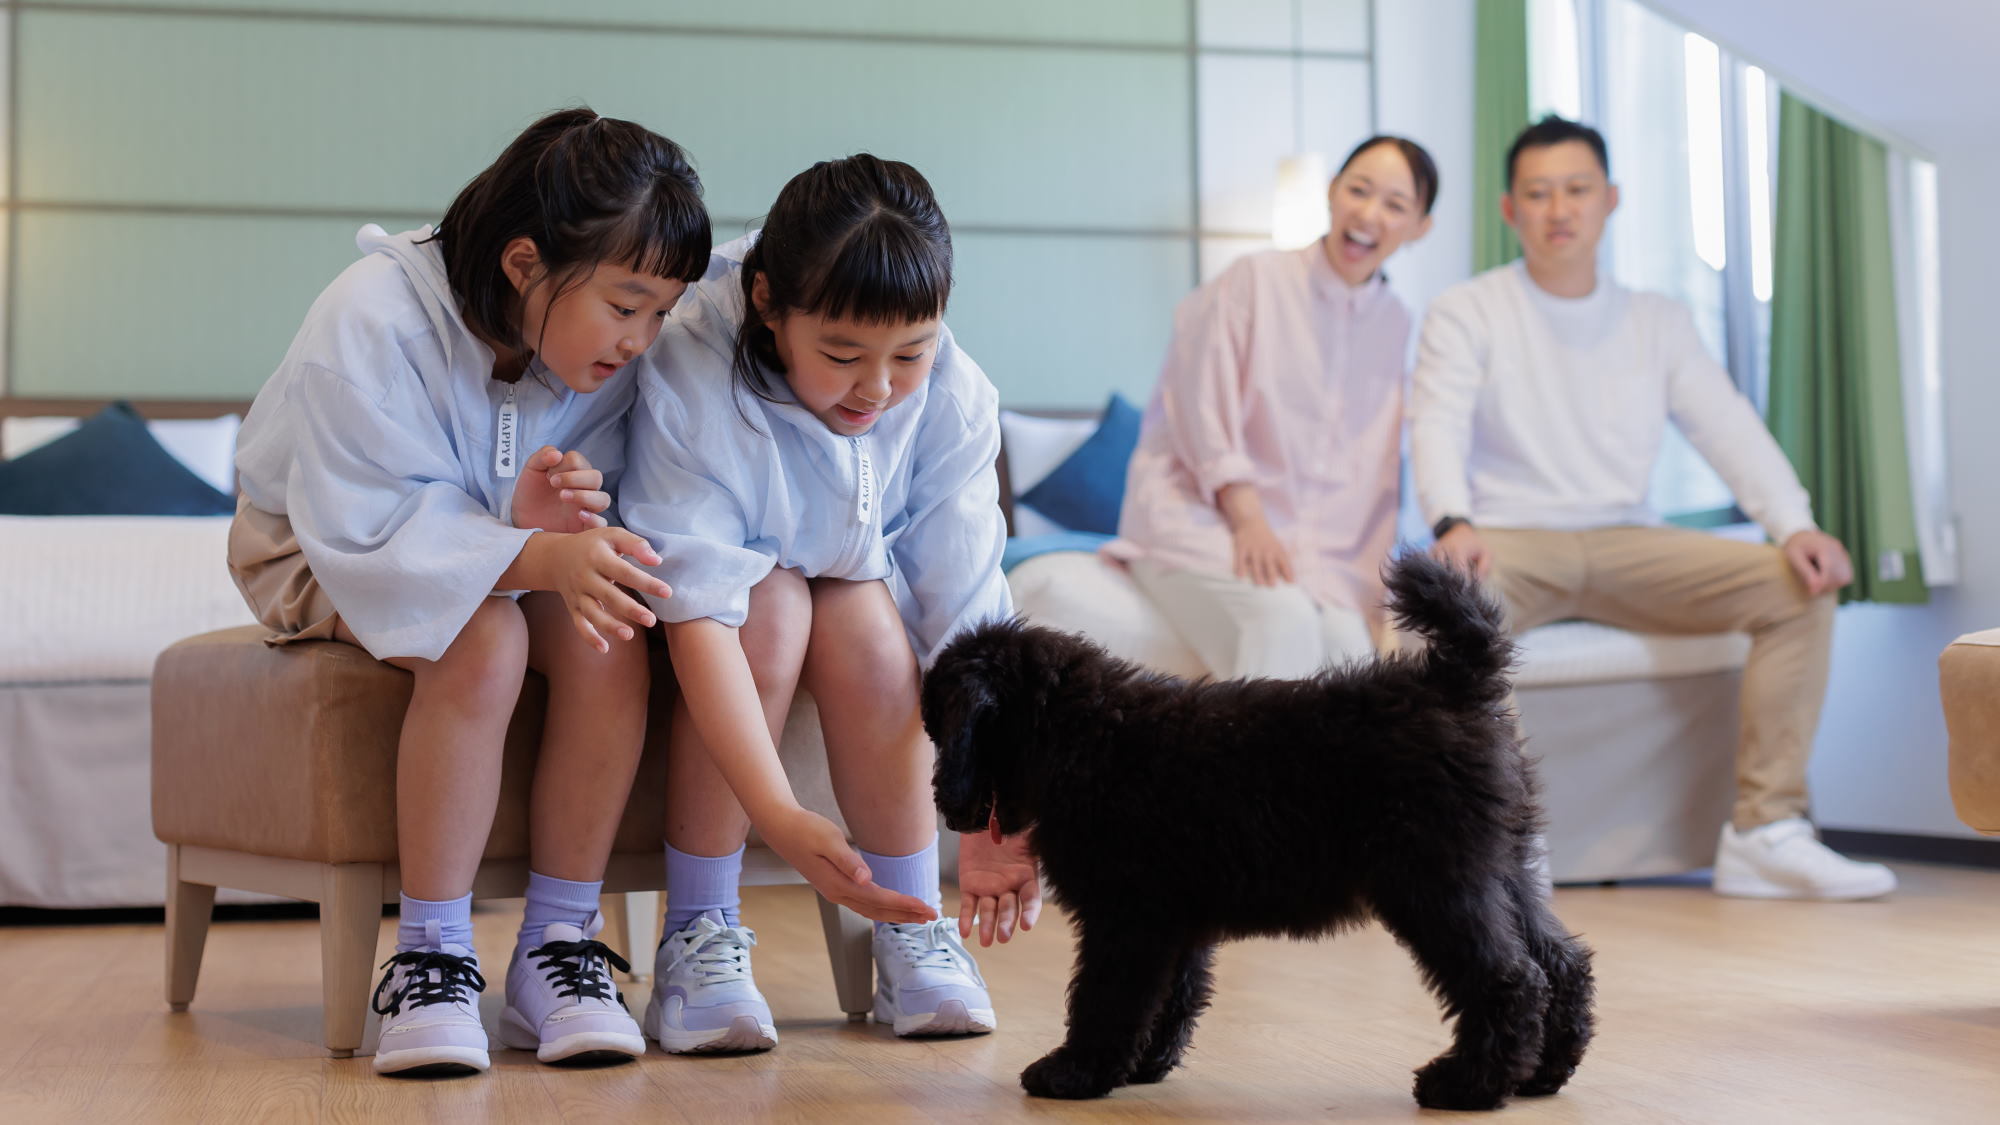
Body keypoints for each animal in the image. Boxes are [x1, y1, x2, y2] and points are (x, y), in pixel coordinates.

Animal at [920, 548, 1592, 1104]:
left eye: (938, 725)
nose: (945, 806)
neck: (1079, 731)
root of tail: (1456, 681)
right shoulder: (1171, 920)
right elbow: (1171, 995)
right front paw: (1143, 1064)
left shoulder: (1126, 918)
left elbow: (1105, 998)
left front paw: (1076, 1072)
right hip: (1505, 871)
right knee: (1562, 963)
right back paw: (1542, 1073)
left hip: (1436, 886)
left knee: (1508, 978)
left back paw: (1467, 1084)